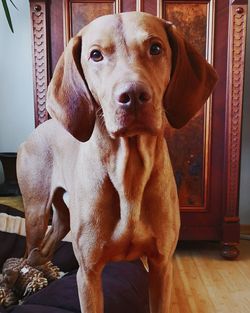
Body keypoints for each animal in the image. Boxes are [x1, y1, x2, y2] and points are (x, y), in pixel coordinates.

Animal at [17, 12, 217, 312]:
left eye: (155, 48)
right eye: (96, 55)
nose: (133, 96)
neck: (129, 174)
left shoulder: (161, 266)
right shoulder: (89, 274)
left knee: (55, 233)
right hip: (36, 212)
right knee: (30, 251)